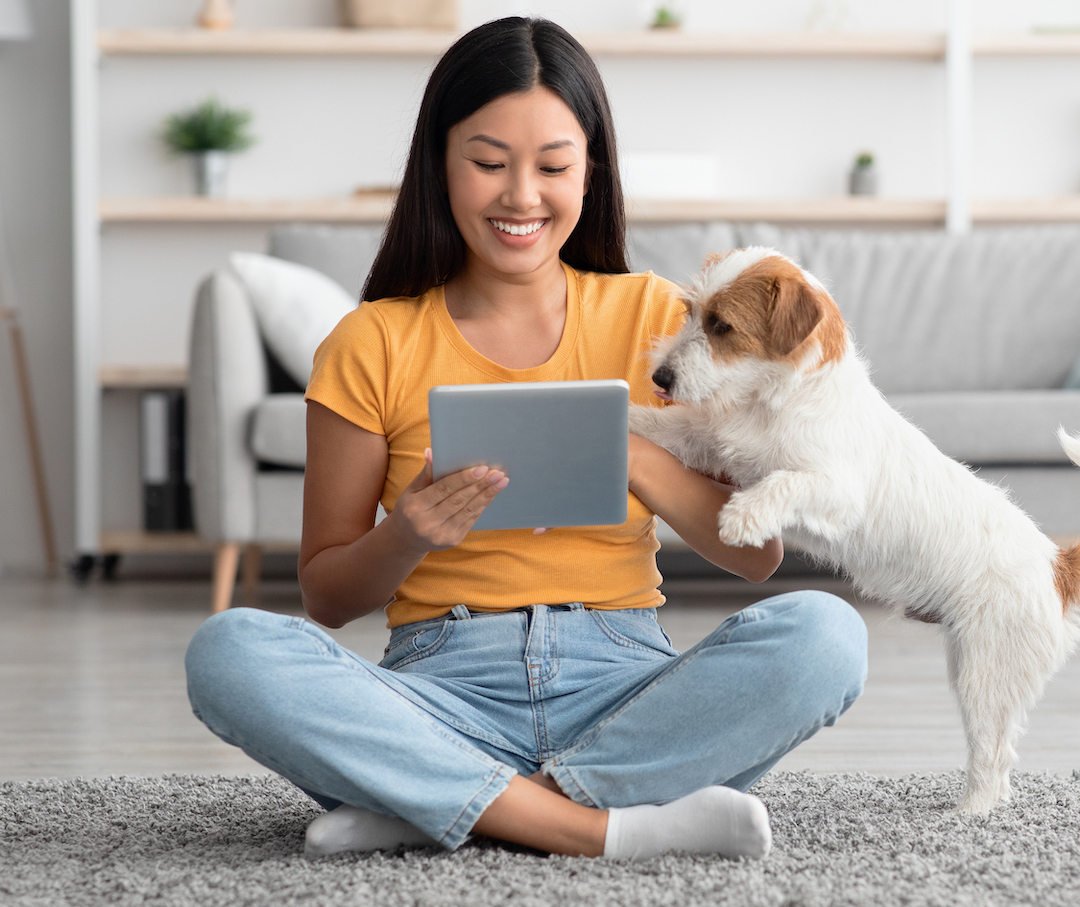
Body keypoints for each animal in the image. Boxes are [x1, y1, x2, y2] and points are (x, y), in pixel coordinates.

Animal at [630, 246, 1080, 816]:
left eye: (722, 326)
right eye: (690, 312)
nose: (659, 377)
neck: (773, 401)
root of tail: (1056, 565)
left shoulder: (834, 490)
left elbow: (784, 482)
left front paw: (743, 516)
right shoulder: (708, 442)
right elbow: (661, 429)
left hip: (986, 679)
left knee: (995, 756)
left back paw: (969, 814)